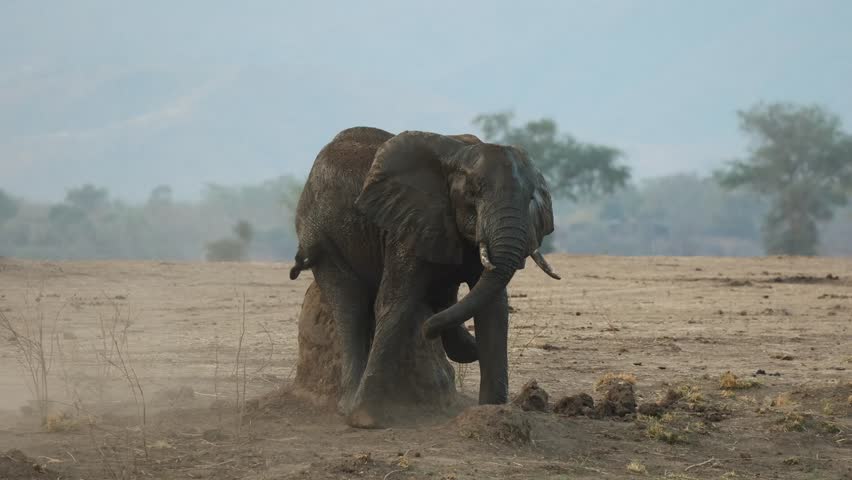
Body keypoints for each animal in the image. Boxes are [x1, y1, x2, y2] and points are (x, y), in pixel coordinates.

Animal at [290, 126, 560, 426]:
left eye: (531, 199)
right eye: (473, 194)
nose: (427, 331)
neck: (457, 157)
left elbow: (492, 308)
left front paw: (491, 413)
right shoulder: (409, 221)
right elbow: (395, 303)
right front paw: (364, 420)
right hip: (321, 235)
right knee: (350, 306)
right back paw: (347, 404)